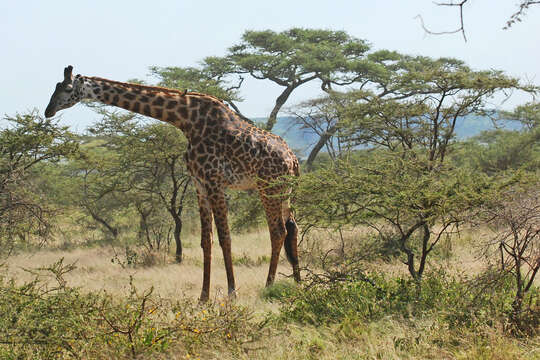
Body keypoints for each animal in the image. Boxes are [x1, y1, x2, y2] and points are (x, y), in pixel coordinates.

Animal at [44, 65, 302, 300]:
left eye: (67, 88)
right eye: (55, 86)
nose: (48, 111)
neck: (185, 120)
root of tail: (293, 160)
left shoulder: (214, 181)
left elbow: (225, 238)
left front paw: (231, 293)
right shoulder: (199, 183)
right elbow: (206, 241)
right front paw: (203, 296)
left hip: (268, 188)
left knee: (277, 230)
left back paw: (269, 285)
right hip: (284, 191)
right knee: (292, 227)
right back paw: (298, 282)